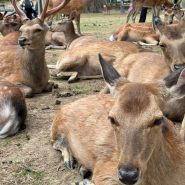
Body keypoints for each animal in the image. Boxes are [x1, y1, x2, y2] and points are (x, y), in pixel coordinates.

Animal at [50, 55, 185, 185]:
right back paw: (70, 162)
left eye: (158, 119)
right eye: (112, 118)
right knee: (55, 143)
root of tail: (65, 106)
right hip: (56, 126)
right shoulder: (104, 169)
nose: (127, 175)